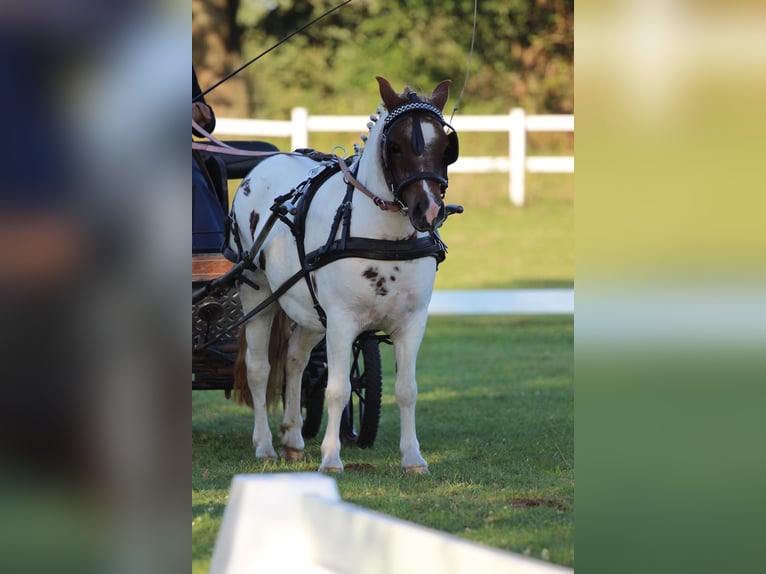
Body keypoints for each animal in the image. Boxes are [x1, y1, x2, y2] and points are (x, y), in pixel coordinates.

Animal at [228, 75, 456, 472]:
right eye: (395, 146)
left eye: (446, 147)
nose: (428, 212)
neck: (384, 237)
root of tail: (263, 165)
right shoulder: (341, 320)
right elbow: (338, 389)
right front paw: (332, 458)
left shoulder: (412, 321)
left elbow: (407, 389)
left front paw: (413, 458)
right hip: (257, 293)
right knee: (259, 369)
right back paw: (265, 445)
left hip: (308, 311)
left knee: (295, 361)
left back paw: (292, 437)